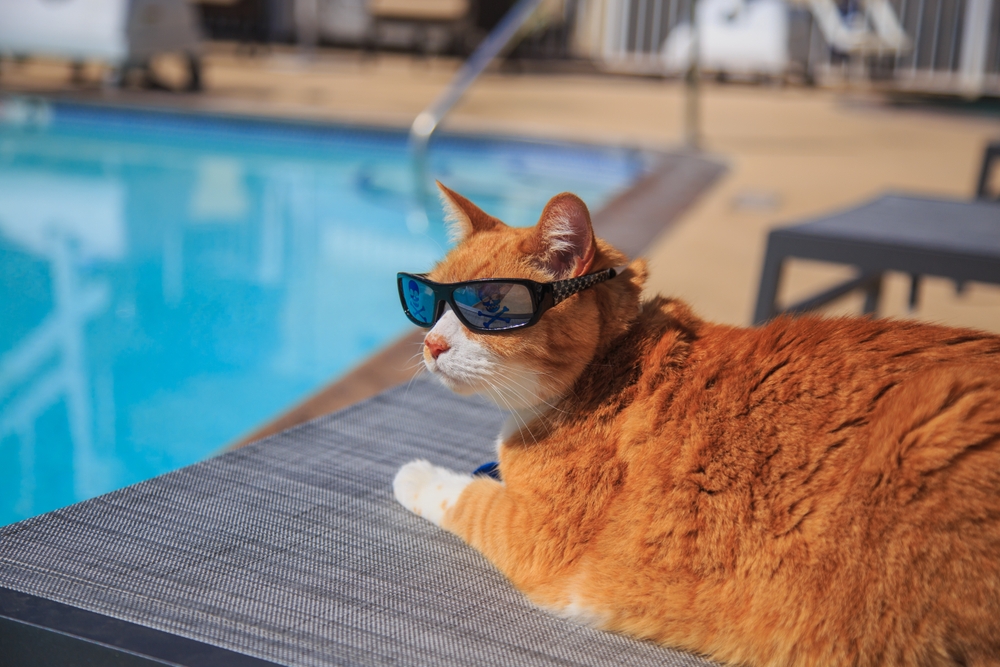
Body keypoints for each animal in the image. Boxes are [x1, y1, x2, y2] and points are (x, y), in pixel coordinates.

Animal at [392, 184, 1000, 667]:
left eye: (488, 306)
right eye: (426, 301)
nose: (431, 343)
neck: (609, 364)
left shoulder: (538, 536)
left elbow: (467, 496)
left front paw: (414, 474)